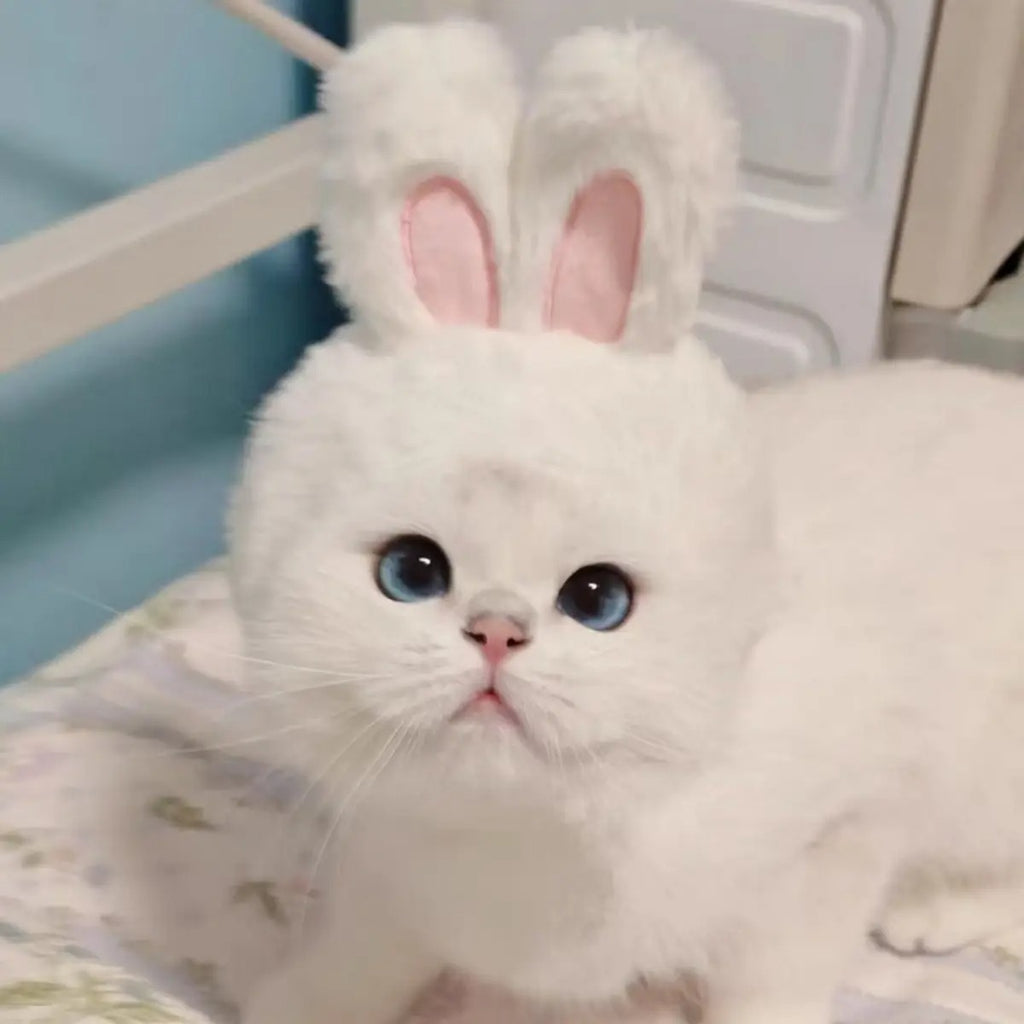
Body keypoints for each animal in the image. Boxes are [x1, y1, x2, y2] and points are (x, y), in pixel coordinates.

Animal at [228, 18, 1024, 1024]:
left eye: (598, 598)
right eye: (411, 572)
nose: (497, 627)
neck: (520, 851)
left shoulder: (840, 836)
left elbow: (772, 982)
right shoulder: (388, 859)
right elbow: (369, 945)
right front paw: (305, 997)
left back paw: (938, 909)